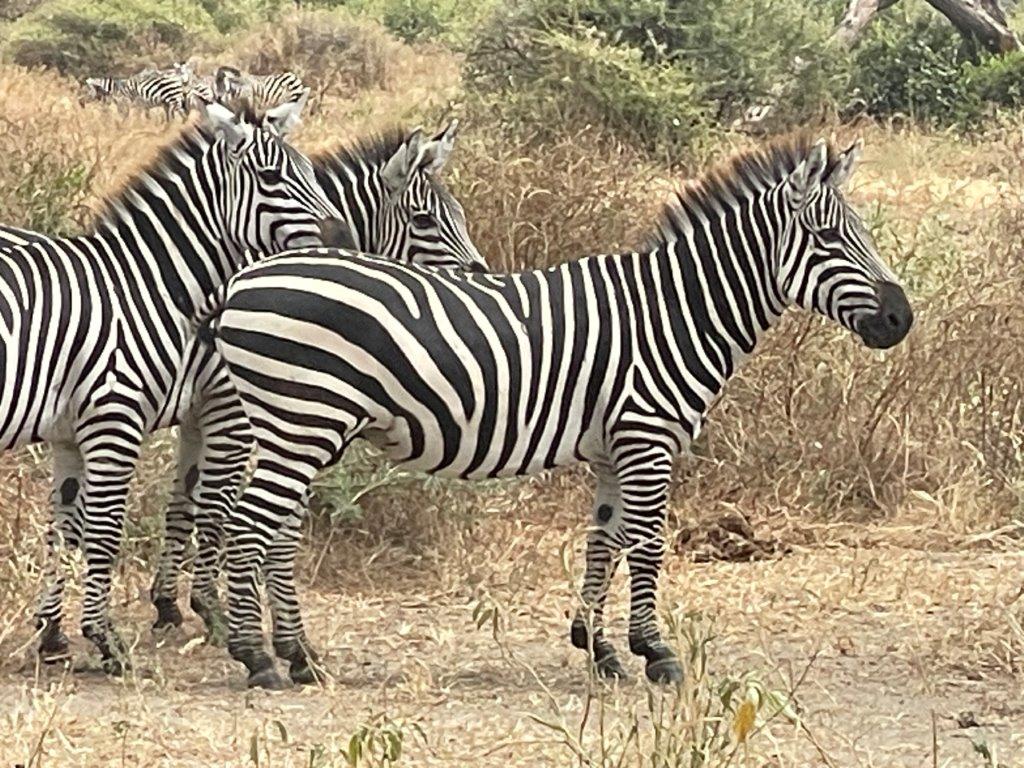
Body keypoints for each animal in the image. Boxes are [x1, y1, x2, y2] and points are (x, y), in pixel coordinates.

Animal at [0, 97, 349, 673]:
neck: (145, 287)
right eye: (272, 176)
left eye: (311, 174)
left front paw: (52, 636)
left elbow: (64, 531)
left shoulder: (69, 434)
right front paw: (105, 638)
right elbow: (106, 529)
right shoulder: (118, 420)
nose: (341, 239)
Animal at [199, 135, 913, 689]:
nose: (901, 320)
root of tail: (242, 279)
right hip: (302, 421)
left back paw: (299, 656)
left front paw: (598, 648)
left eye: (863, 233)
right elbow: (647, 543)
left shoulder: (614, 448)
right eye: (829, 237)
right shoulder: (649, 437)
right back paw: (258, 659)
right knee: (250, 524)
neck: (675, 312)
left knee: (276, 528)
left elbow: (606, 539)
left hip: (302, 426)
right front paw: (656, 654)